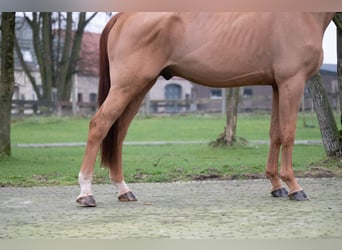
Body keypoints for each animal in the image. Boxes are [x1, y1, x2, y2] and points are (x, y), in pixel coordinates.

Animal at [76, 12, 336, 206]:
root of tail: (122, 15)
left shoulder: (276, 85)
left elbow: (276, 134)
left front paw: (276, 185)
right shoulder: (292, 81)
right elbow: (289, 133)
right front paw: (294, 187)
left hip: (139, 87)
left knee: (118, 132)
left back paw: (124, 190)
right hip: (127, 85)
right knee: (99, 125)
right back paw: (86, 193)